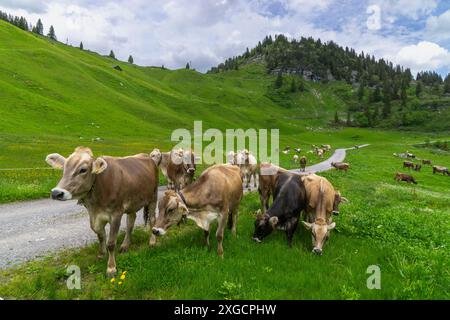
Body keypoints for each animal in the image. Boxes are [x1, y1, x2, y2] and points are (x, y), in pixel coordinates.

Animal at [45, 147, 158, 276]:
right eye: (64, 168)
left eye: (83, 170)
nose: (56, 193)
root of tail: (147, 156)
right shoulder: (94, 216)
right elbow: (100, 235)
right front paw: (101, 254)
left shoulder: (116, 214)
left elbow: (111, 243)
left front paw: (111, 268)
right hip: (132, 202)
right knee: (131, 221)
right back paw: (125, 245)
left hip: (153, 196)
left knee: (152, 219)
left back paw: (152, 242)